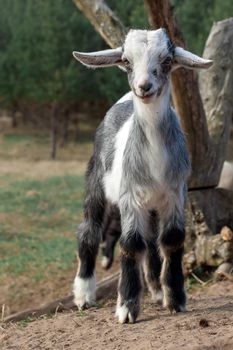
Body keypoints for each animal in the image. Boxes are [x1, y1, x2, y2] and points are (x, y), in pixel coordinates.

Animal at [73, 28, 213, 324]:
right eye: (126, 60)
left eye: (168, 59)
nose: (144, 86)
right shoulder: (131, 197)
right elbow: (130, 244)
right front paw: (126, 308)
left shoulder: (175, 195)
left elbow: (171, 240)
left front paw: (175, 299)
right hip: (96, 180)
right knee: (89, 231)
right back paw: (84, 295)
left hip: (152, 205)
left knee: (151, 242)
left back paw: (157, 291)